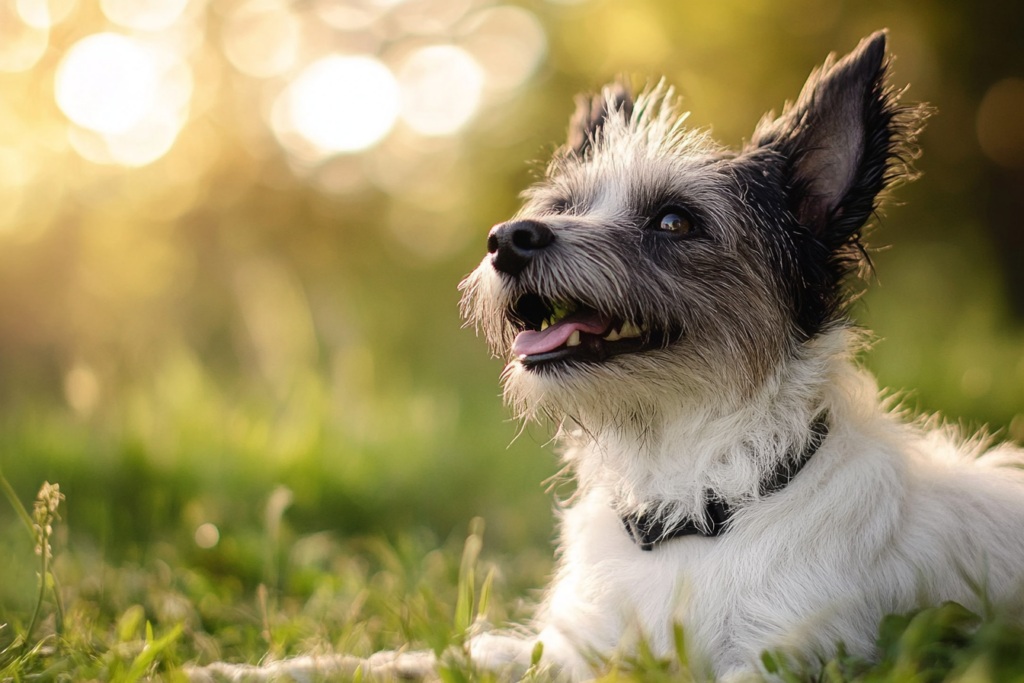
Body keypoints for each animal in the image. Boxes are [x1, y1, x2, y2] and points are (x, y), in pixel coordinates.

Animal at [458, 29, 1024, 679]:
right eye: (561, 208)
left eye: (674, 221)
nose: (508, 239)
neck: (691, 504)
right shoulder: (577, 646)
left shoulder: (786, 651)